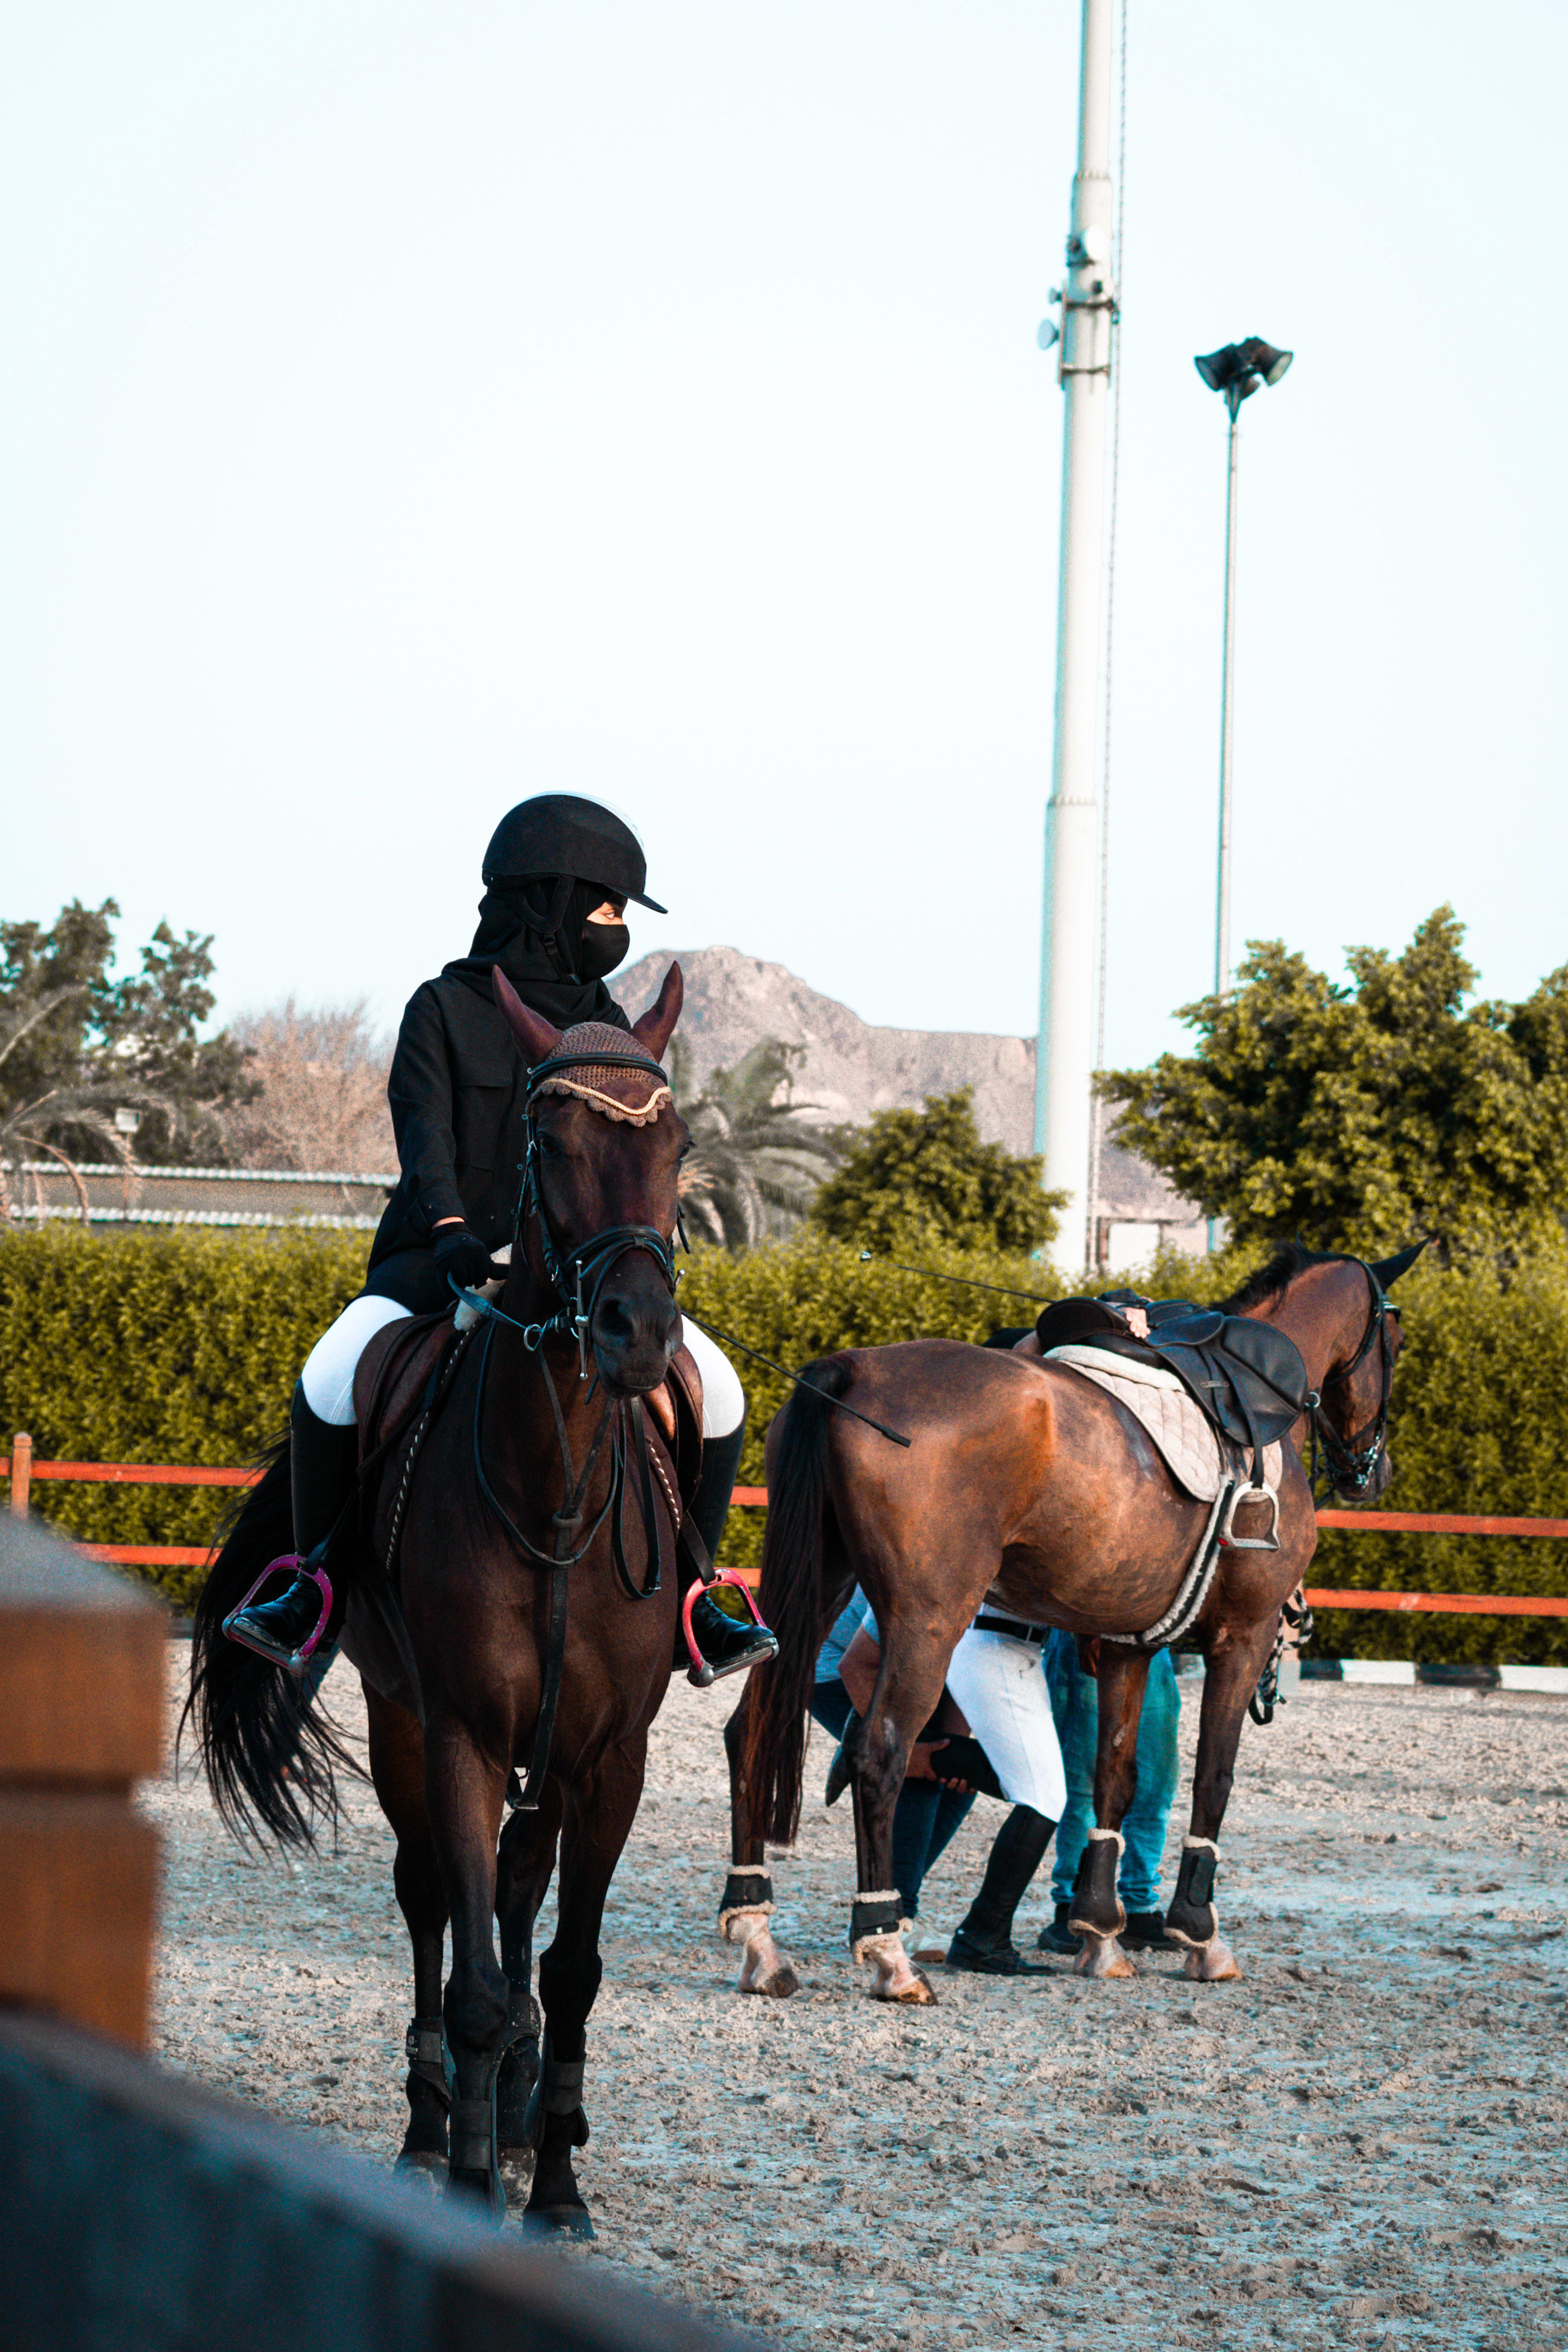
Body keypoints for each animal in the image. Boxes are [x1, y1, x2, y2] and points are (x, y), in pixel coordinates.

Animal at [186, 964, 693, 2230]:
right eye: (550, 1139)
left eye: (678, 1145)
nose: (638, 1333)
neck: (555, 1494)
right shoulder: (461, 1731)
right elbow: (465, 1973)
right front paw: (467, 2177)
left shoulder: (609, 1755)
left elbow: (569, 1966)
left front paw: (552, 2183)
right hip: (401, 1717)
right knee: (431, 1906)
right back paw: (434, 2129)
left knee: (513, 1898)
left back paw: (509, 2107)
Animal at [719, 1244, 1421, 2004]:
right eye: (1396, 1342)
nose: (1373, 1470)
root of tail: (851, 1368)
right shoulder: (1244, 1636)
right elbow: (1215, 1776)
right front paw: (1199, 1934)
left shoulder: (1124, 1646)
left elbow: (1114, 1776)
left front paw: (1100, 1932)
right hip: (927, 1619)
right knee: (878, 1751)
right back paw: (888, 1951)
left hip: (816, 1588)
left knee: (749, 1729)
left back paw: (757, 1933)